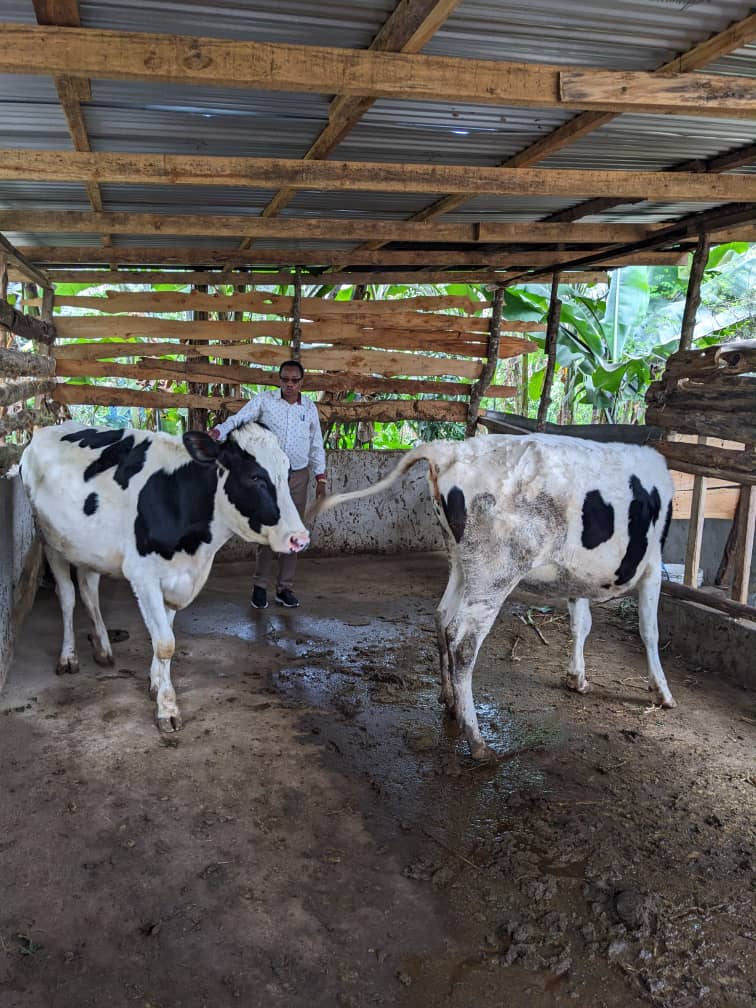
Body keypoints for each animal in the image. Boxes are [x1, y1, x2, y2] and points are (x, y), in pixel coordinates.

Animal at [21, 420, 309, 732]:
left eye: (287, 471)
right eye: (255, 477)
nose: (299, 538)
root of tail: (42, 431)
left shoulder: (179, 579)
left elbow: (165, 636)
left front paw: (156, 684)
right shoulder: (143, 576)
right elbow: (165, 644)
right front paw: (167, 708)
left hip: (89, 546)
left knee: (89, 591)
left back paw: (103, 649)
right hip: (50, 542)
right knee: (68, 597)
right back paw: (68, 656)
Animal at [311, 434, 676, 761]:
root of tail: (451, 449)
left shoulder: (576, 574)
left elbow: (581, 624)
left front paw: (577, 678)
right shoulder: (653, 565)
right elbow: (649, 631)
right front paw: (662, 691)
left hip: (462, 562)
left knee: (442, 616)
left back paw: (450, 701)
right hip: (495, 573)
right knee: (463, 642)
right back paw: (476, 740)